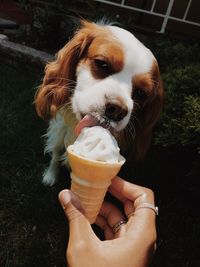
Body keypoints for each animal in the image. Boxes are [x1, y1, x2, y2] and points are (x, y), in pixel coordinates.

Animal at [34, 20, 162, 186]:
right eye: (102, 64)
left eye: (141, 93)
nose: (117, 110)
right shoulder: (59, 129)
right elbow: (55, 152)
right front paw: (51, 174)